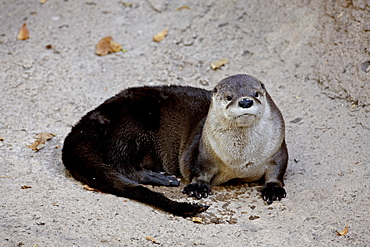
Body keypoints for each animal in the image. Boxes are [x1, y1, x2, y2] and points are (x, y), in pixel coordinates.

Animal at [62, 74, 288, 217]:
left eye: (257, 93)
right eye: (229, 97)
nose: (246, 101)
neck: (240, 161)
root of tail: (99, 112)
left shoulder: (278, 150)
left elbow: (278, 170)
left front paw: (273, 189)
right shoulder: (203, 153)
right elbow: (200, 170)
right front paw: (198, 187)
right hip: (132, 126)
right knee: (121, 163)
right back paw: (162, 178)